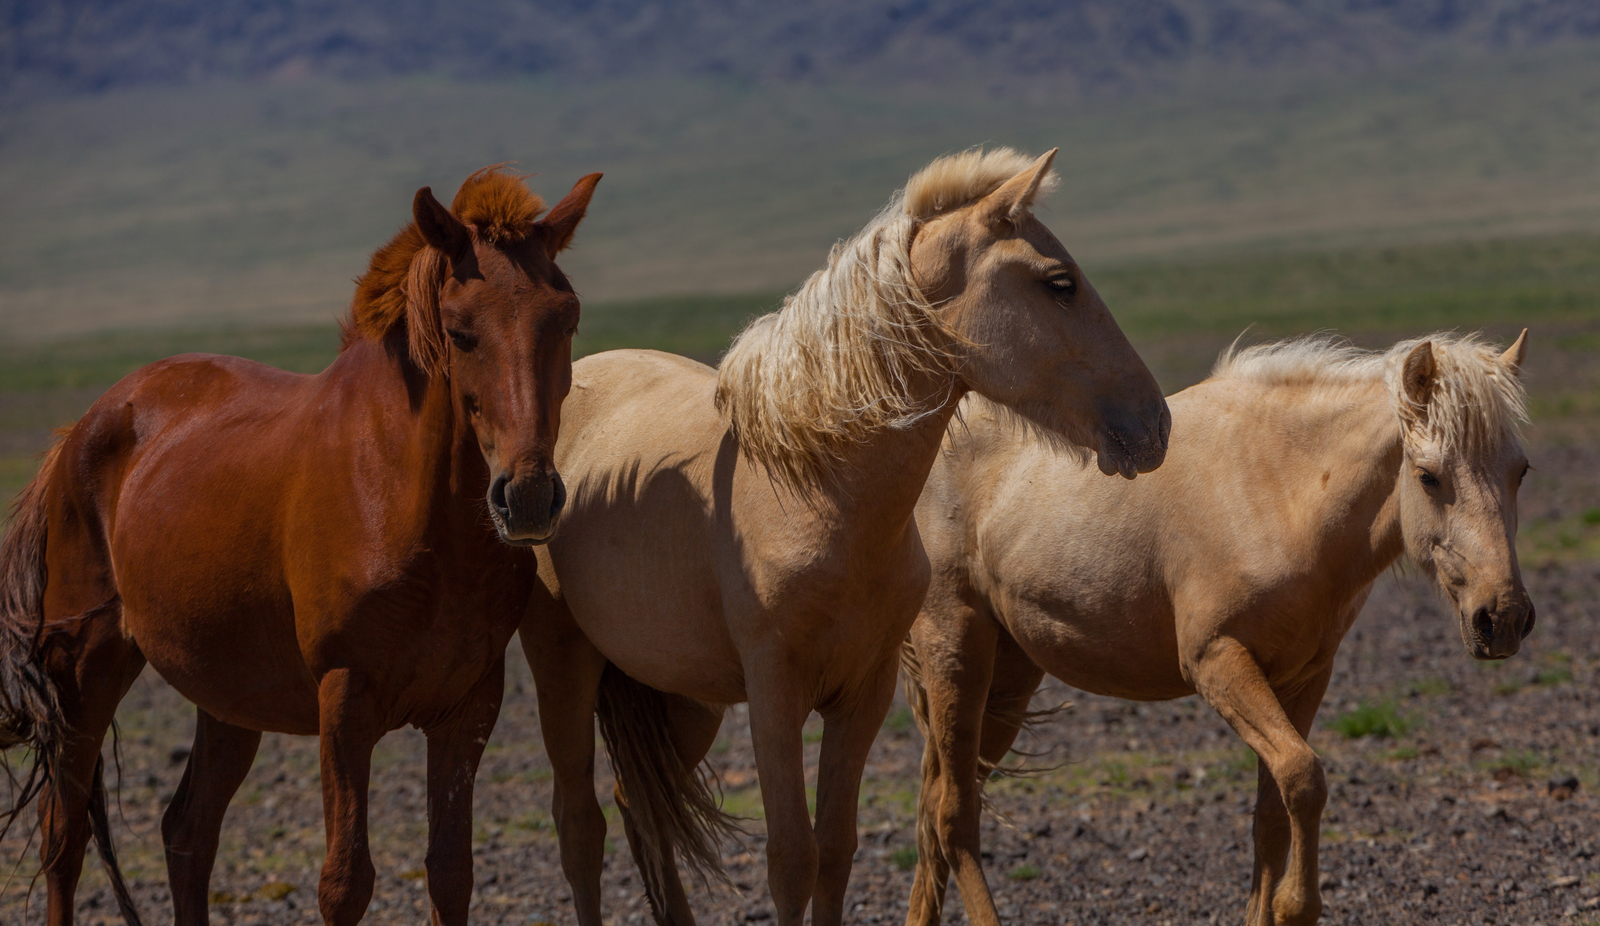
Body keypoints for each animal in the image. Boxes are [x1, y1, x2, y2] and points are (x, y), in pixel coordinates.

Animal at [0, 166, 601, 926]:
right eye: (461, 333)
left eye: (567, 319)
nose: (526, 497)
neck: (409, 505)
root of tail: (80, 429)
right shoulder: (343, 702)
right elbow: (345, 882)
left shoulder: (465, 711)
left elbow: (450, 873)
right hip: (87, 673)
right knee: (64, 836)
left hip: (227, 695)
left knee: (187, 832)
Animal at [518, 147, 1171, 926]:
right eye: (1060, 283)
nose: (1155, 424)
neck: (816, 495)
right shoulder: (775, 695)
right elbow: (790, 858)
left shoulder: (863, 694)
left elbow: (835, 849)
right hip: (564, 665)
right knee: (578, 825)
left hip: (681, 694)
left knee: (636, 805)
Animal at [902, 329, 1536, 921]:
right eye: (1428, 476)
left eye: (1522, 471)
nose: (1503, 617)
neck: (1280, 489)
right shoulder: (1217, 662)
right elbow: (1304, 778)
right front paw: (1296, 905)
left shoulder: (1303, 679)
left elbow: (1273, 816)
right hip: (958, 651)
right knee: (953, 814)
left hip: (1007, 678)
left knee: (937, 807)